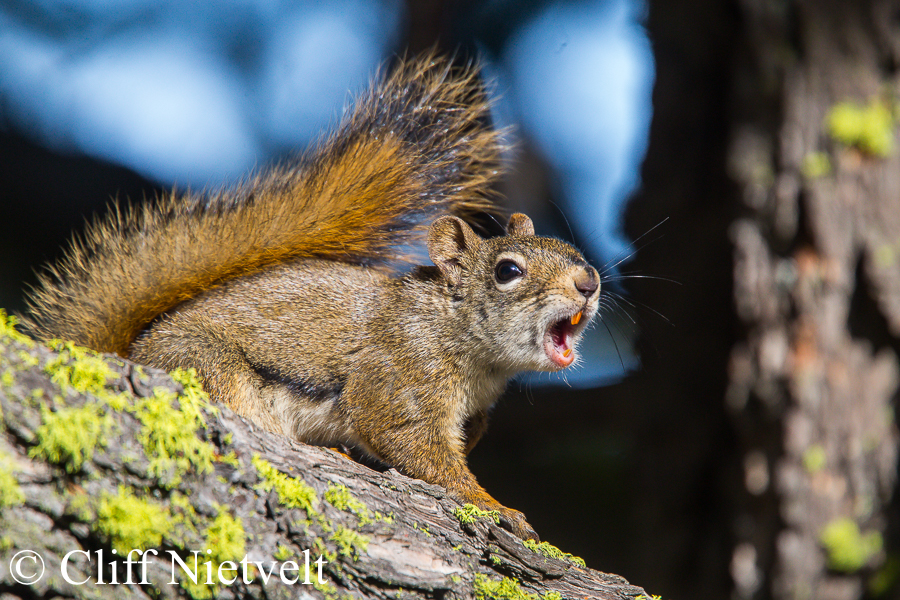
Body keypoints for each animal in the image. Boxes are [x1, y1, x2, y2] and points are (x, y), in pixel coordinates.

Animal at [23, 56, 601, 541]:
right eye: (508, 271)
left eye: (568, 249)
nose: (589, 282)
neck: (462, 339)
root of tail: (126, 354)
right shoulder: (399, 370)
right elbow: (410, 441)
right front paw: (493, 504)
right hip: (208, 367)